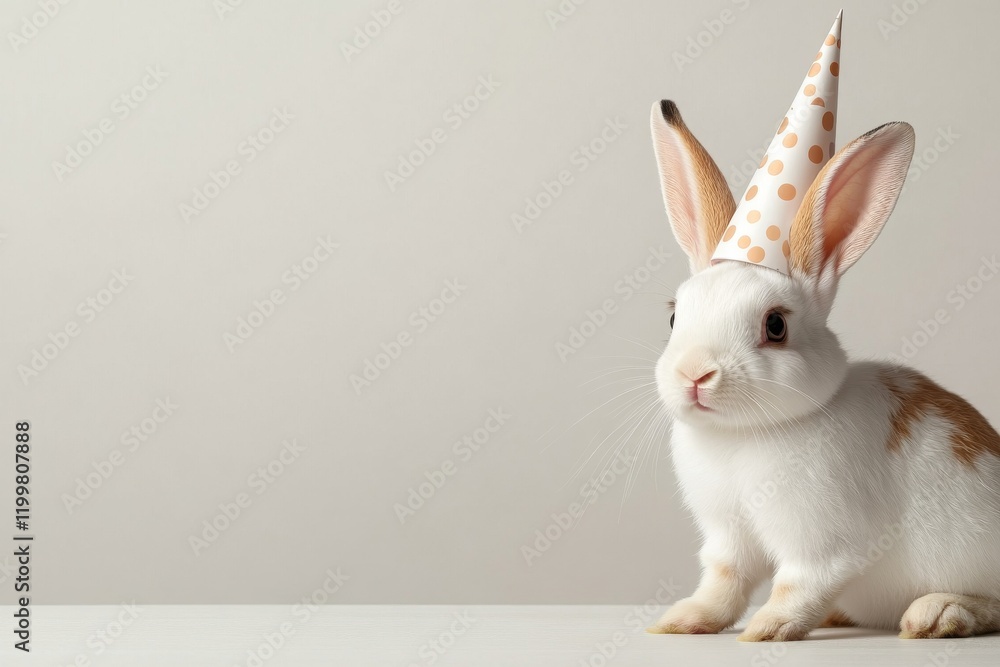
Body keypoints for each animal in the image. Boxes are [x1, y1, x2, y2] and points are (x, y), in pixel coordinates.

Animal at [644, 100, 1000, 641]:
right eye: (673, 317)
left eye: (775, 325)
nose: (695, 375)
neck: (743, 435)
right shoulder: (729, 537)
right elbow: (723, 583)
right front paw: (682, 621)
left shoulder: (824, 543)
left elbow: (798, 585)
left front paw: (767, 629)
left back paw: (937, 614)